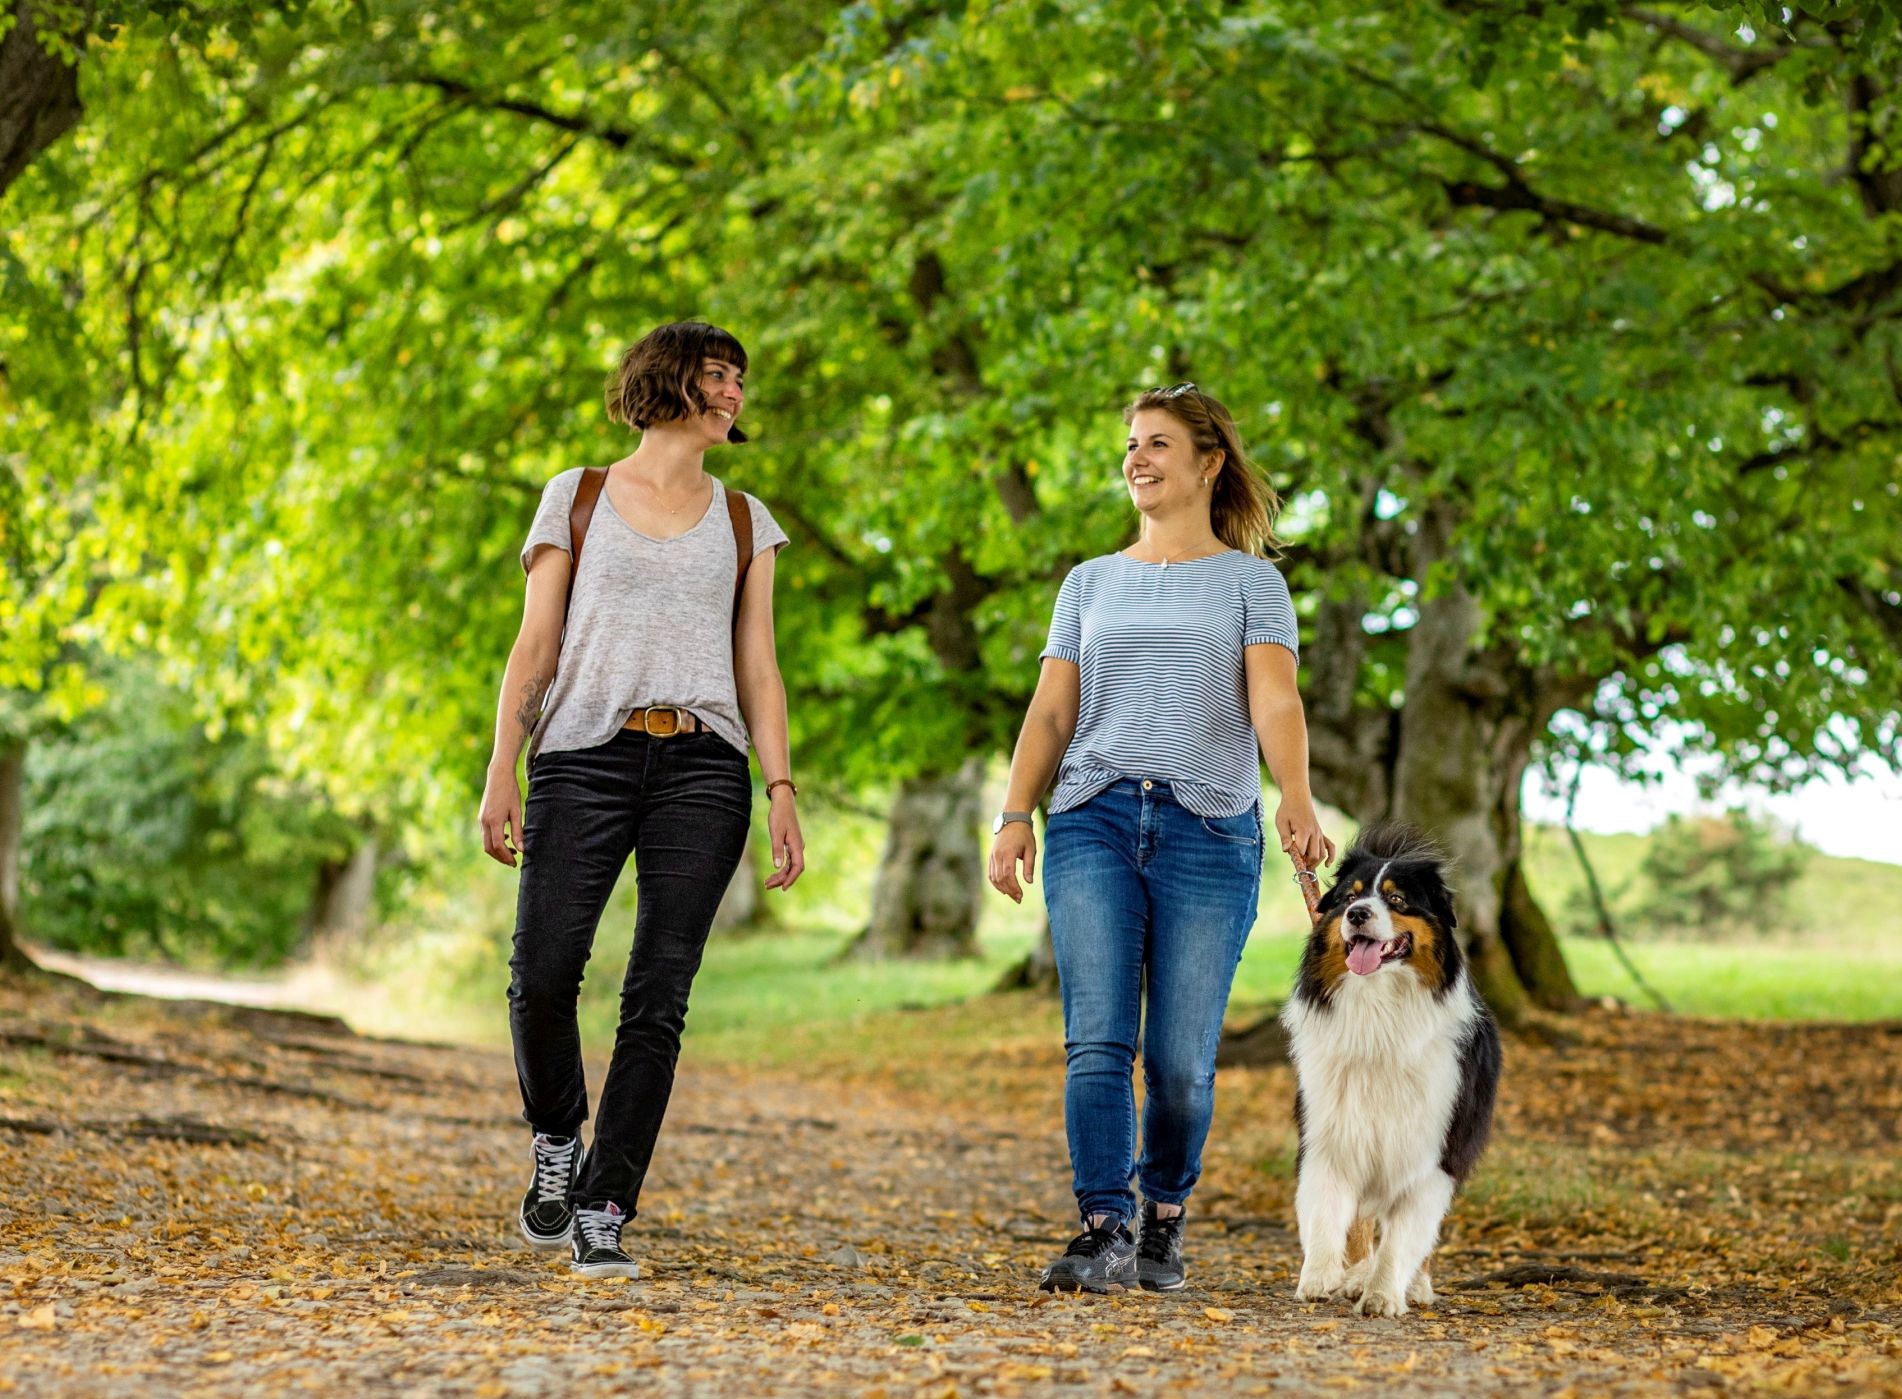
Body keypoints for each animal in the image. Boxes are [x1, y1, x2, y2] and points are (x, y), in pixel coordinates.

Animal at [1278, 821, 1498, 1307]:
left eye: (1397, 900)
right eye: (1348, 897)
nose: (1358, 914)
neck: (1377, 1010)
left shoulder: (1432, 1149)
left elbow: (1404, 1236)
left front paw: (1383, 1294)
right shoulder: (1331, 1131)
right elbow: (1327, 1211)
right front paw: (1320, 1276)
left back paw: (1412, 1286)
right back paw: (1355, 1274)